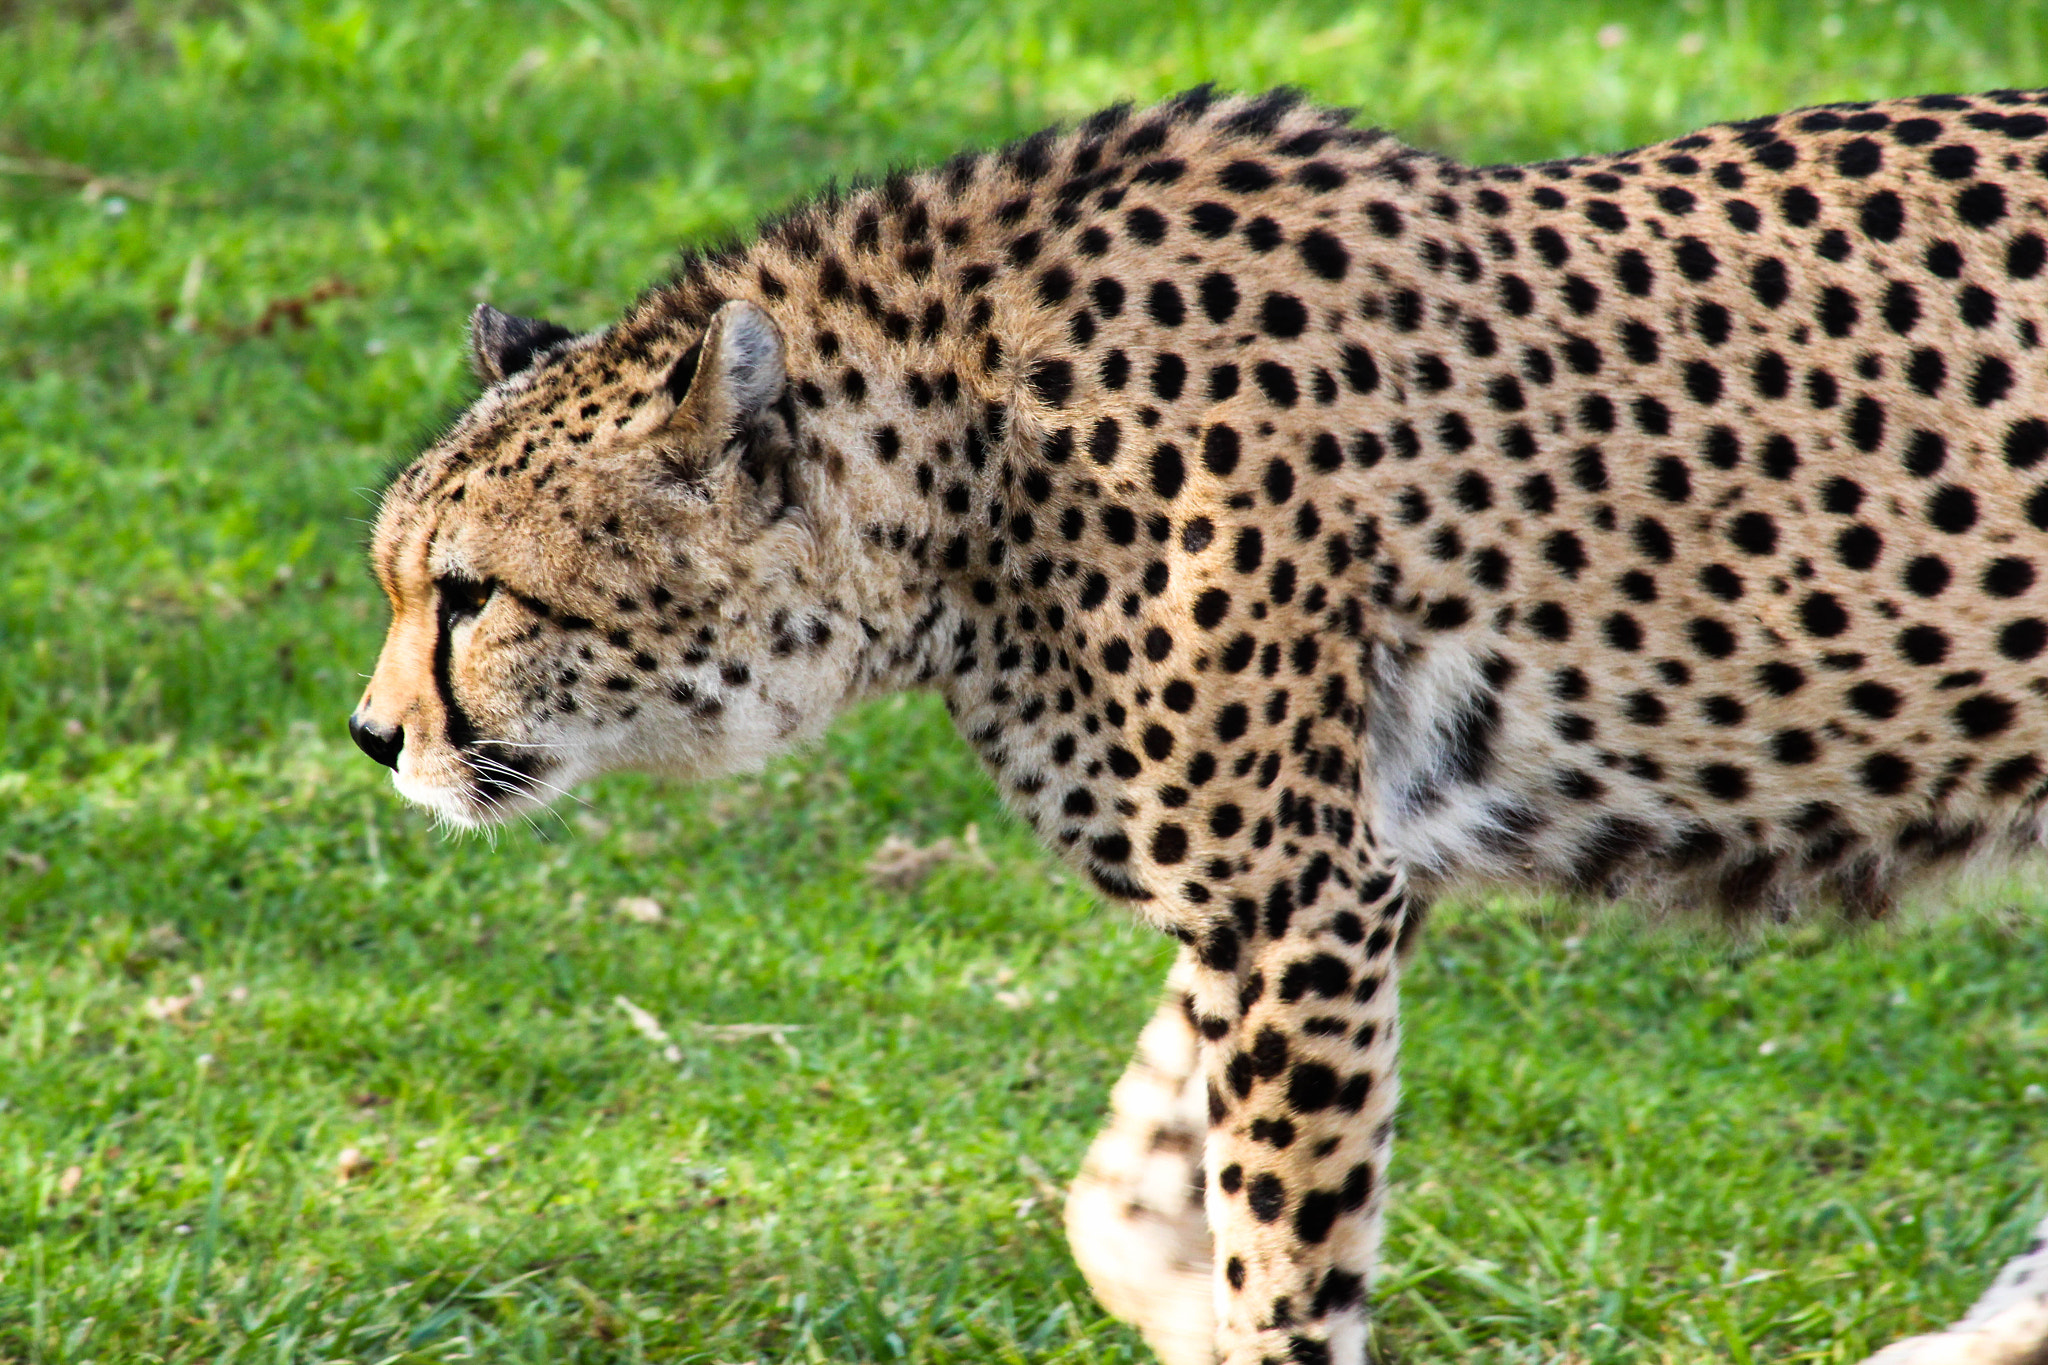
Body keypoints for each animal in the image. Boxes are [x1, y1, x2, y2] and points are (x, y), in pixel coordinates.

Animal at [351, 84, 2048, 1364]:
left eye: (471, 595)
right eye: (398, 577)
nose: (372, 737)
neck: (965, 461)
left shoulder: (1296, 892)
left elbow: (1284, 1238)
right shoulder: (1337, 875)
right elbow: (1123, 1184)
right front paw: (1173, 1298)